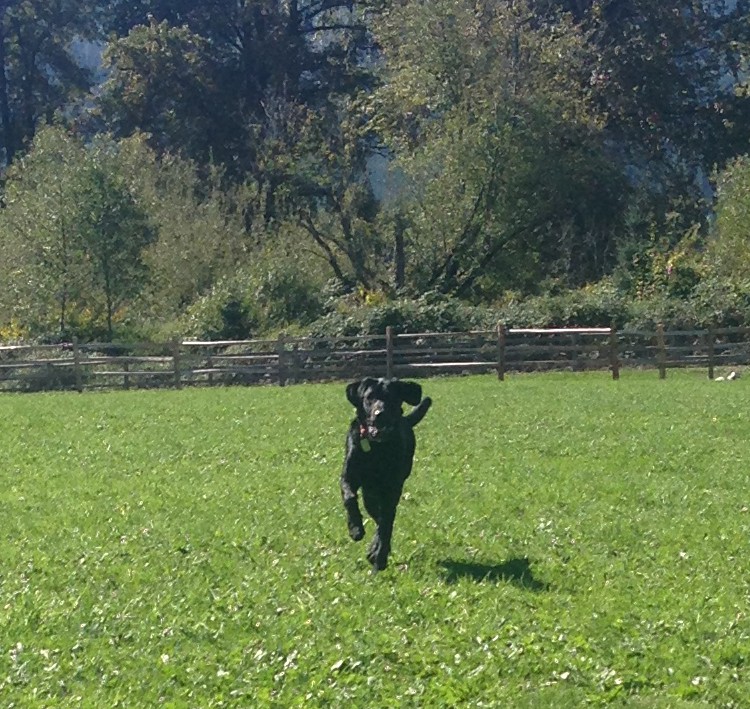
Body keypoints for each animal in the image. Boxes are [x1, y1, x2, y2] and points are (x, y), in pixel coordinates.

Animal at [340, 377, 432, 572]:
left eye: (392, 397)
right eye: (369, 397)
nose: (379, 413)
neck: (376, 448)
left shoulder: (392, 488)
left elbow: (386, 523)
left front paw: (379, 555)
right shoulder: (348, 477)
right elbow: (350, 498)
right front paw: (355, 528)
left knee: (384, 518)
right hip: (369, 495)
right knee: (376, 513)